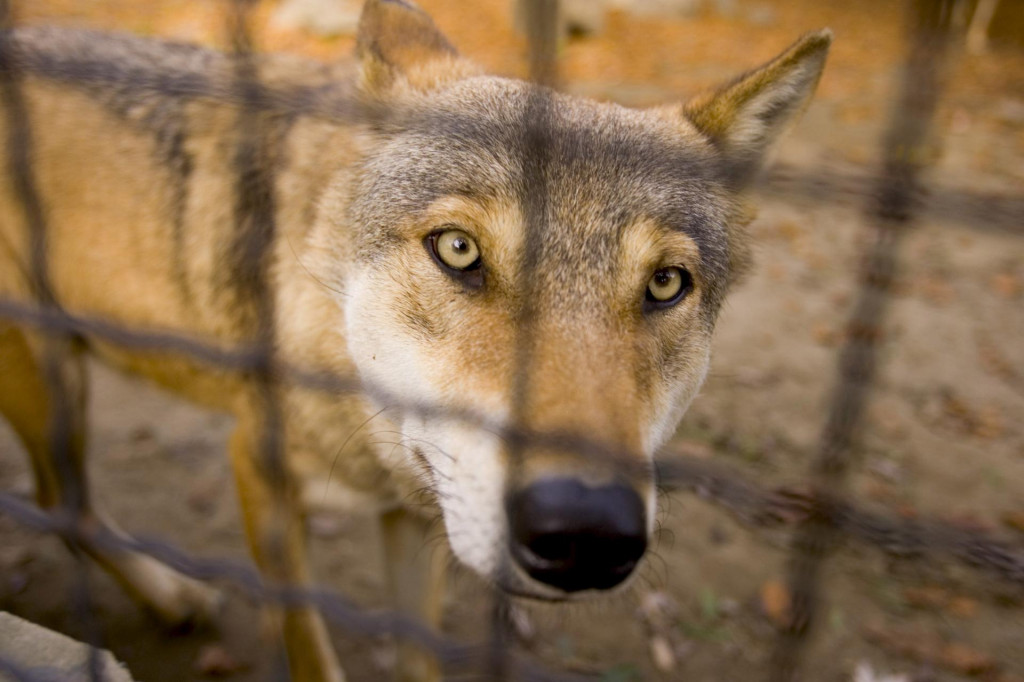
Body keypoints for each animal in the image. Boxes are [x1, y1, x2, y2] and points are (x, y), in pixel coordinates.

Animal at [0, 2, 831, 675]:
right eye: (458, 250)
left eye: (665, 285)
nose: (586, 532)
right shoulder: (259, 476)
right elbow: (310, 647)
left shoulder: (416, 514)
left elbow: (416, 652)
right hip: (51, 377)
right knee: (60, 499)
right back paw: (171, 596)